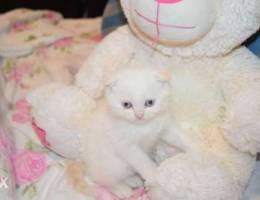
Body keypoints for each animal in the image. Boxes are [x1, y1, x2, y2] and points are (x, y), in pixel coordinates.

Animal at [80, 63, 172, 198]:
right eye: (126, 105)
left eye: (149, 103)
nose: (139, 115)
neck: (143, 126)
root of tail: (88, 169)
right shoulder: (126, 146)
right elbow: (142, 161)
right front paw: (154, 175)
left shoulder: (161, 130)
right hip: (113, 164)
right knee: (106, 180)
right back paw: (121, 189)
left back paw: (133, 180)